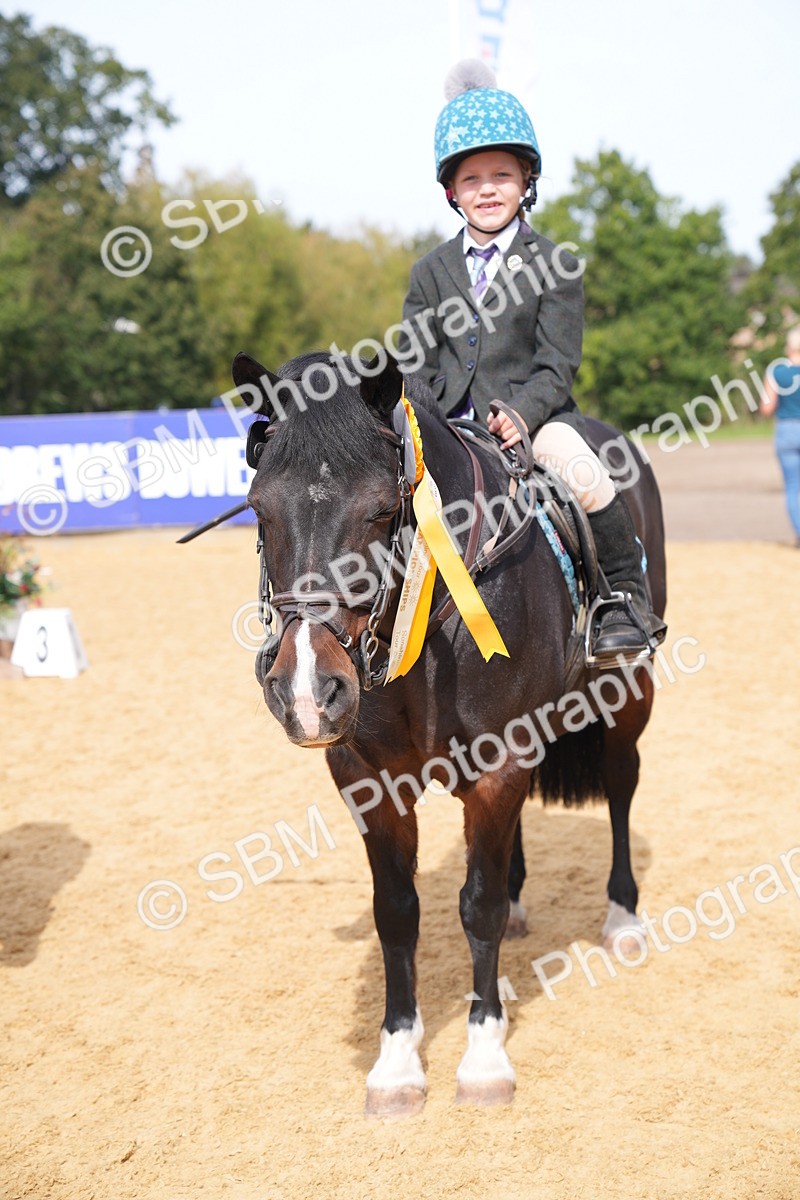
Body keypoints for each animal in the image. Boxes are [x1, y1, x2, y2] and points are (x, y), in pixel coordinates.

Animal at [232, 346, 666, 1116]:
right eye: (259, 508)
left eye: (383, 509)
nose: (308, 690)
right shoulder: (369, 780)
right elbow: (398, 912)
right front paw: (397, 1065)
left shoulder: (498, 762)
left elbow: (477, 906)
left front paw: (485, 1058)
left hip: (627, 695)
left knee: (620, 786)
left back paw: (622, 919)